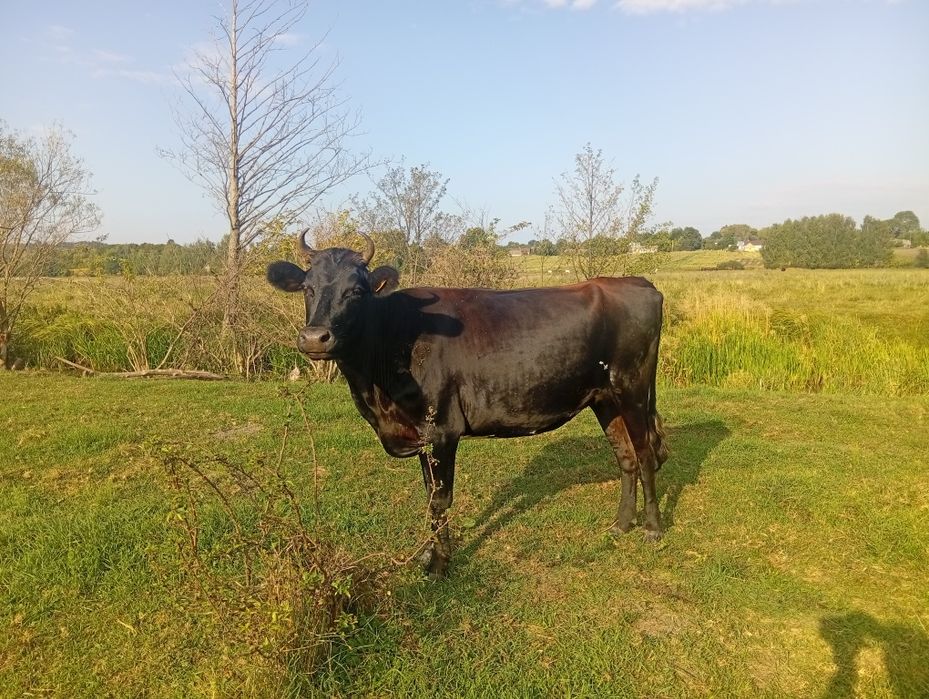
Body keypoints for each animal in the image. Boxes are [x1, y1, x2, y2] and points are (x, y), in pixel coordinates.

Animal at [267, 231, 668, 578]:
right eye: (307, 288)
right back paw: (621, 524)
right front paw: (429, 556)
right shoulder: (421, 436)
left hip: (633, 388)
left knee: (646, 453)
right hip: (605, 398)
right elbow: (428, 495)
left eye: (356, 291)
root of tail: (634, 282)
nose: (315, 338)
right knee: (626, 457)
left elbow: (440, 500)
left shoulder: (442, 430)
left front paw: (440, 564)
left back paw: (652, 527)